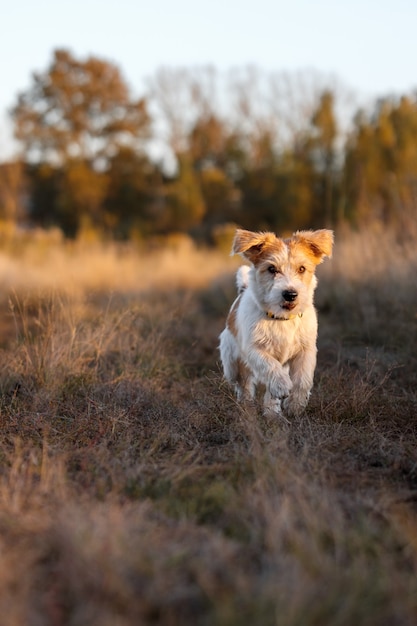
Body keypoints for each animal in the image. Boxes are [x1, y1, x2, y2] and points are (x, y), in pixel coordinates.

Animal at [218, 227, 332, 416]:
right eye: (271, 269)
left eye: (302, 268)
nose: (290, 294)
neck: (282, 318)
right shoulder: (254, 349)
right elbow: (270, 366)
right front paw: (282, 385)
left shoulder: (306, 351)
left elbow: (303, 379)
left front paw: (295, 404)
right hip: (231, 363)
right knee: (243, 384)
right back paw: (248, 406)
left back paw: (272, 413)